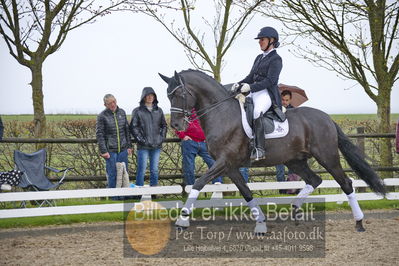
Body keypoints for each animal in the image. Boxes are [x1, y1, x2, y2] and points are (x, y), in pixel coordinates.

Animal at [160, 69, 388, 234]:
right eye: (168, 96)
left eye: (179, 94)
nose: (177, 125)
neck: (221, 113)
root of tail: (327, 118)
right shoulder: (229, 166)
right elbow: (246, 192)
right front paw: (261, 223)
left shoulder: (224, 162)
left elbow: (198, 183)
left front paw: (182, 221)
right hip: (294, 161)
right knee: (314, 180)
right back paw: (294, 210)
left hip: (327, 157)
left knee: (346, 183)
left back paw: (359, 223)